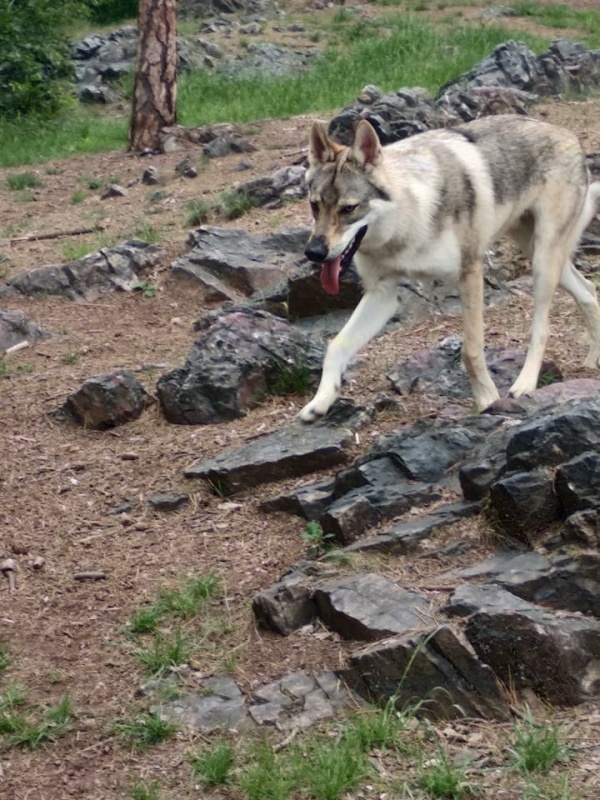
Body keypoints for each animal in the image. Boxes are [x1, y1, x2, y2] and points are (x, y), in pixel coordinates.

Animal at [300, 116, 600, 424]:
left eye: (349, 208)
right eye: (315, 206)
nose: (314, 253)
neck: (410, 217)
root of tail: (567, 134)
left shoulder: (470, 273)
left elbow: (471, 351)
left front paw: (487, 400)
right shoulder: (383, 294)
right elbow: (336, 345)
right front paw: (320, 401)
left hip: (542, 262)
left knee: (542, 329)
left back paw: (525, 384)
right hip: (542, 254)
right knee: (589, 290)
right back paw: (592, 361)